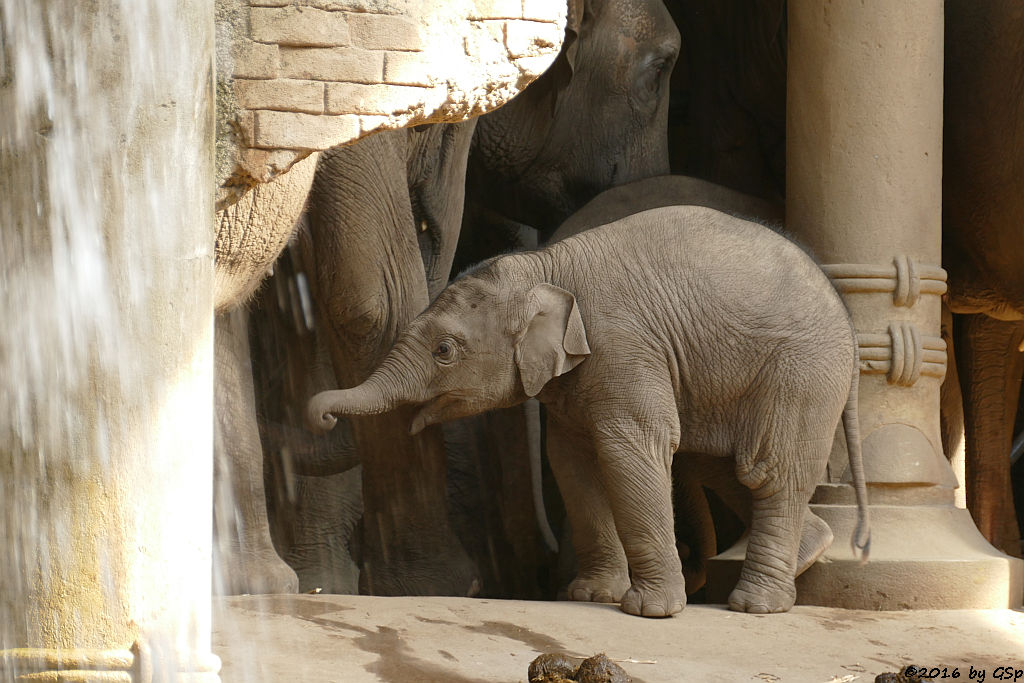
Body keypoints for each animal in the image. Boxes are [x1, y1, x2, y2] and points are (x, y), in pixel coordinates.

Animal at [307, 205, 868, 618]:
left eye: (444, 350)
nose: (322, 417)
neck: (545, 266)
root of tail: (846, 315)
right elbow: (571, 461)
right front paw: (590, 597)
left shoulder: (622, 346)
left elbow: (628, 449)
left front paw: (650, 611)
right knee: (722, 463)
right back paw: (805, 555)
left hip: (803, 374)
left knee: (767, 469)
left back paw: (755, 606)